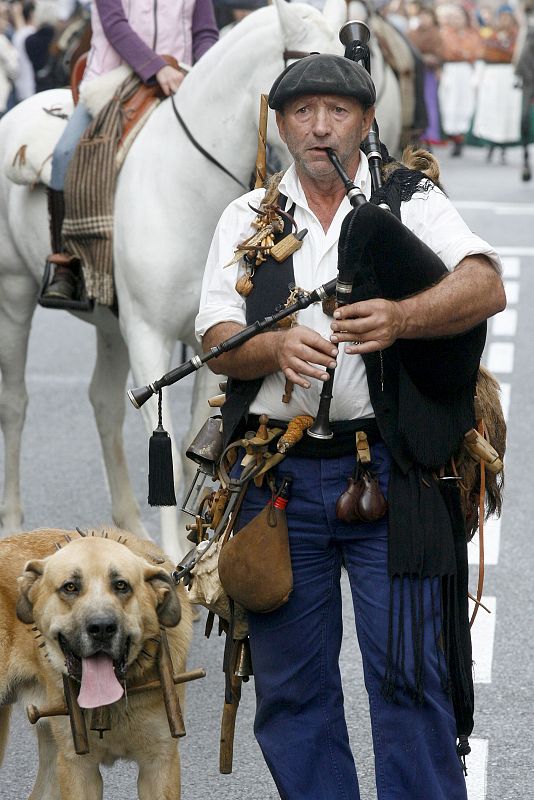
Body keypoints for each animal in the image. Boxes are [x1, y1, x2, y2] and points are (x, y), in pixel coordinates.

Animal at [0, 0, 402, 564]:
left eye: (363, 67)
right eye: (302, 67)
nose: (364, 149)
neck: (186, 184)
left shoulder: (208, 342)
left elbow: (195, 442)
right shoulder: (148, 334)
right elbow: (166, 451)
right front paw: (172, 559)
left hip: (109, 325)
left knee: (102, 401)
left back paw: (130, 529)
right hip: (14, 295)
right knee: (15, 405)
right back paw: (14, 523)